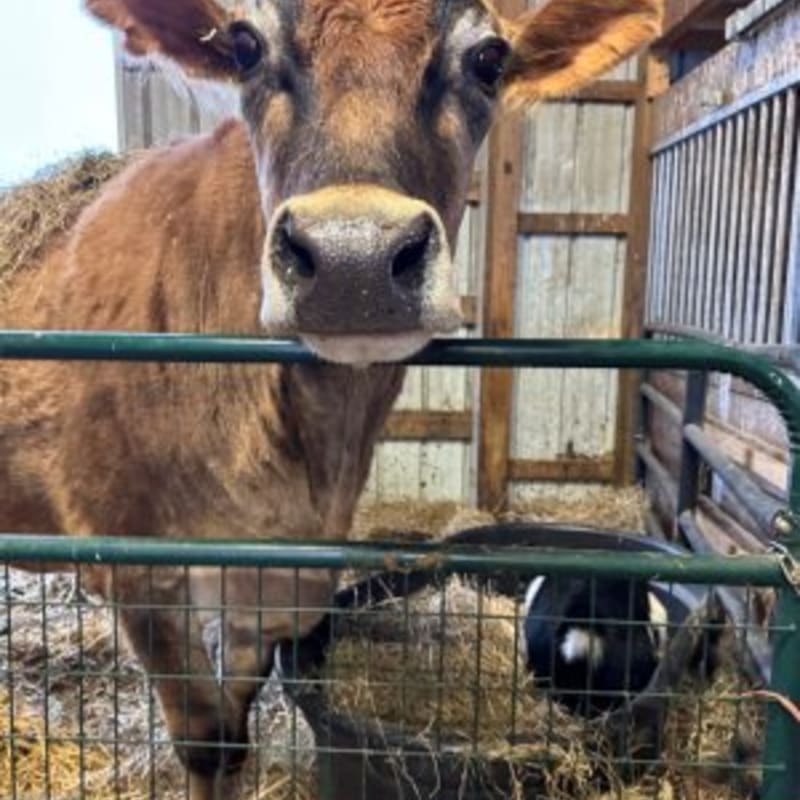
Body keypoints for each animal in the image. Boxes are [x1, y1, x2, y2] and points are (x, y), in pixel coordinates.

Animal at [0, 1, 662, 797]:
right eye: (245, 45)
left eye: (488, 58)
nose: (355, 261)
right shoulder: (136, 563)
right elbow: (206, 742)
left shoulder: (279, 571)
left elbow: (235, 730)